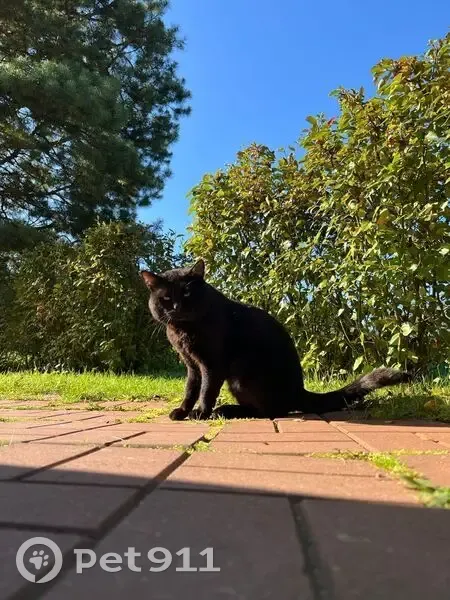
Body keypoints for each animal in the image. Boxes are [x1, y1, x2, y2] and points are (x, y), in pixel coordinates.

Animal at [141, 259, 411, 420]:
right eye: (166, 298)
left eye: (187, 293)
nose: (177, 308)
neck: (184, 330)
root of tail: (300, 390)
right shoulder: (192, 365)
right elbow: (190, 389)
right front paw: (181, 412)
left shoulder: (212, 365)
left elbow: (206, 391)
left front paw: (201, 413)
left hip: (242, 378)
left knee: (270, 411)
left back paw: (226, 410)